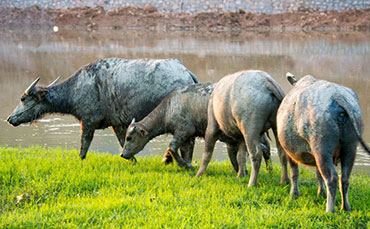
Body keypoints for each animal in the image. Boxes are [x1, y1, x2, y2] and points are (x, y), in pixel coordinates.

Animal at [6, 57, 197, 159]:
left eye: (23, 98)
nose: (9, 118)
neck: (76, 89)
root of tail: (186, 71)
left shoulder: (88, 122)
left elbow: (84, 146)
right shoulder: (118, 124)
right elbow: (123, 142)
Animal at [121, 83, 272, 174]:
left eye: (129, 137)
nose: (122, 155)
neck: (169, 108)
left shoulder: (183, 130)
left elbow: (172, 146)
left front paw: (184, 164)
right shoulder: (189, 136)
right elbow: (187, 152)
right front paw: (187, 164)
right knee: (265, 148)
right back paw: (266, 169)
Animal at [278, 73, 370, 213]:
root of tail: (338, 96)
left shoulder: (290, 152)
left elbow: (294, 173)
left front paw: (294, 194)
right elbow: (318, 174)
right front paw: (320, 193)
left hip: (321, 148)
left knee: (332, 178)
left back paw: (329, 210)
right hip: (350, 147)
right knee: (344, 178)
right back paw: (345, 208)